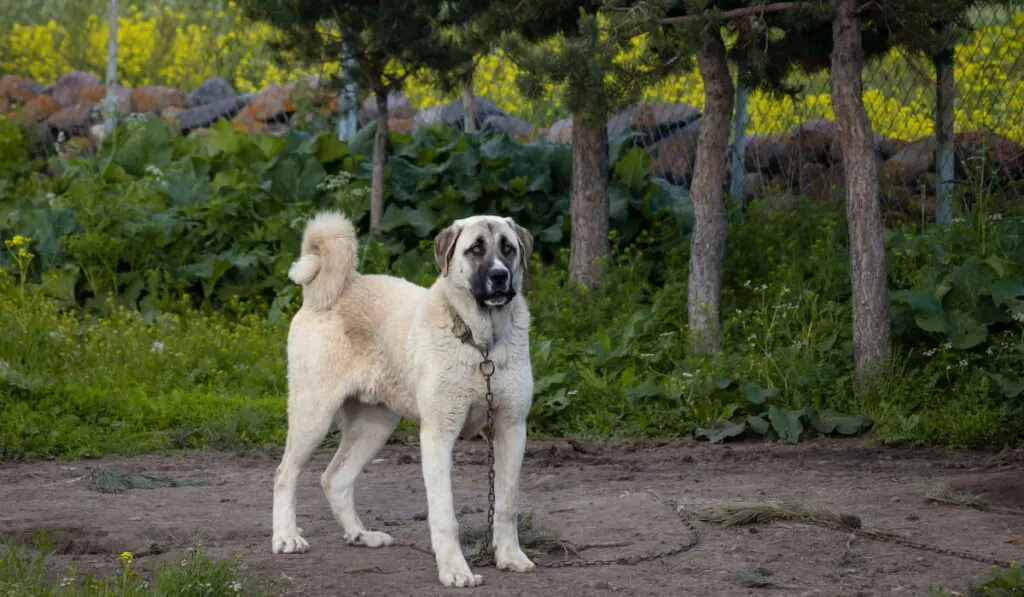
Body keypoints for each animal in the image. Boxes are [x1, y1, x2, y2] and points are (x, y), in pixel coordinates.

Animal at [272, 210, 540, 589]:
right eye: (475, 249)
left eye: (508, 248)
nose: (500, 275)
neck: (480, 343)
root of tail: (332, 289)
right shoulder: (438, 436)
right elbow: (444, 514)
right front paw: (454, 570)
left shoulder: (512, 429)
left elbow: (506, 503)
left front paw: (510, 557)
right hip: (313, 415)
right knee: (285, 474)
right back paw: (285, 537)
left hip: (375, 427)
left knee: (335, 478)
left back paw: (360, 535)